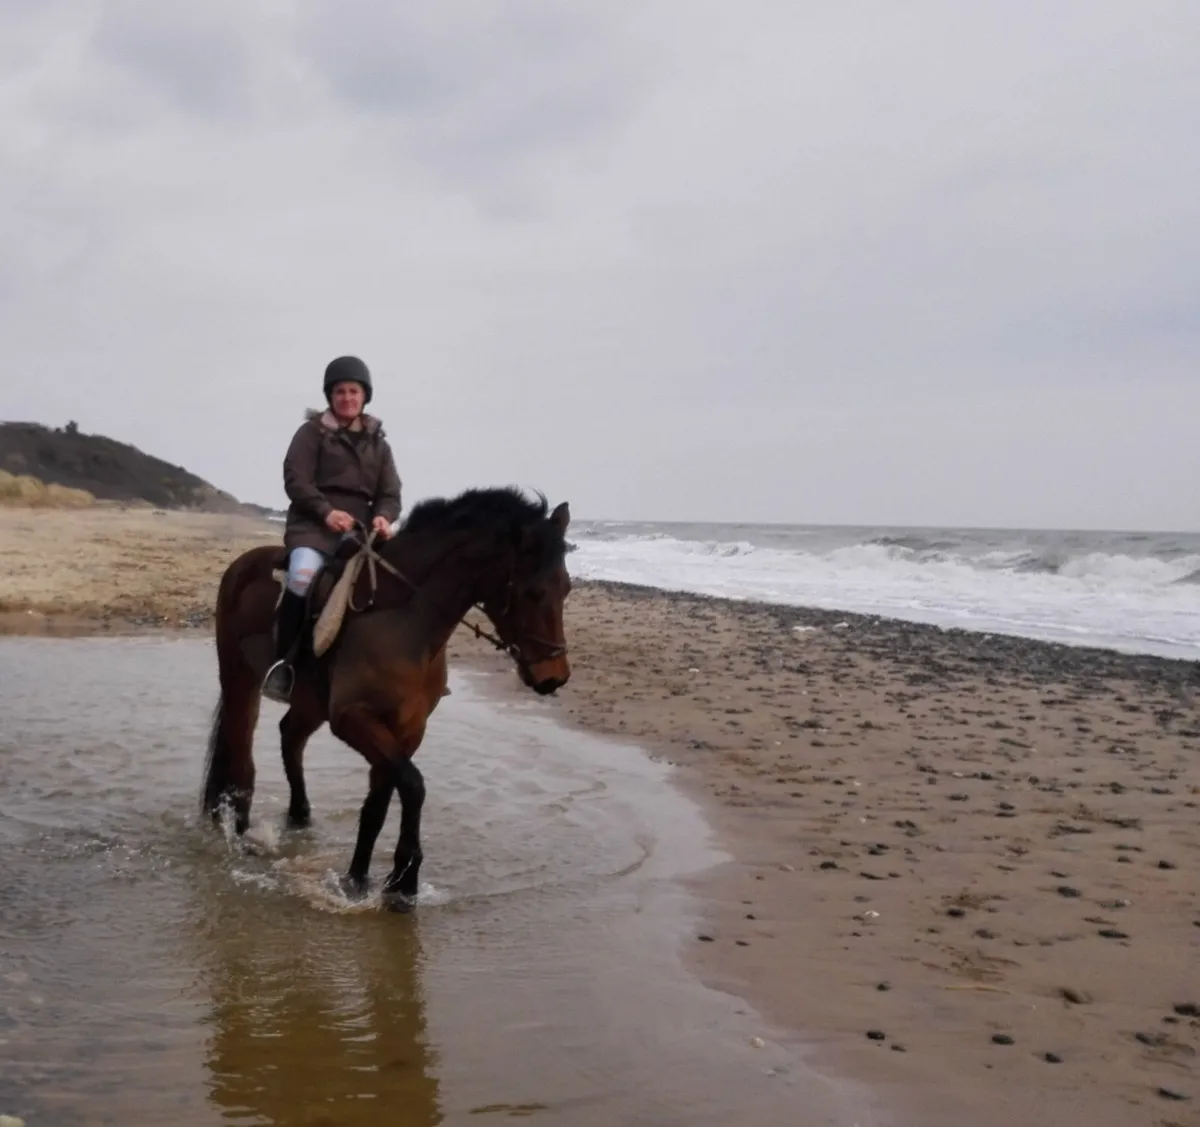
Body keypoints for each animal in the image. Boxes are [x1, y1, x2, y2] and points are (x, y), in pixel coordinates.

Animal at [201, 486, 572, 909]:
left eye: (567, 588)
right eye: (533, 592)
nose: (553, 677)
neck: (403, 621)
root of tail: (241, 565)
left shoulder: (407, 726)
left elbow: (379, 802)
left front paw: (360, 879)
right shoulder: (353, 719)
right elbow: (412, 785)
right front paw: (404, 879)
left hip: (309, 701)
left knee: (289, 736)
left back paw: (299, 816)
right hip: (239, 678)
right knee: (239, 743)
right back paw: (236, 824)